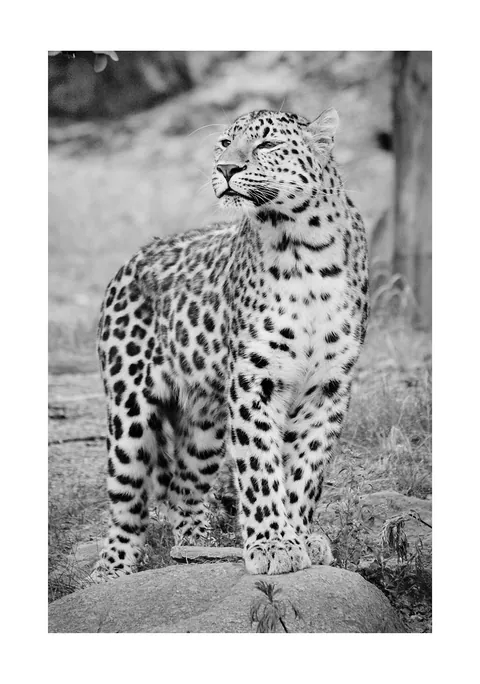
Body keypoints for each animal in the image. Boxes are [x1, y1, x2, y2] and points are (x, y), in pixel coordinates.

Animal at [94, 106, 369, 578]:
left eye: (267, 145)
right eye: (225, 143)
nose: (226, 168)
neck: (305, 248)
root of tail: (132, 259)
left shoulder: (329, 387)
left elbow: (305, 470)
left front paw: (300, 536)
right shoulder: (255, 380)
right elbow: (259, 465)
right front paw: (273, 543)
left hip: (205, 424)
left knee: (183, 488)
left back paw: (195, 547)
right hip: (129, 409)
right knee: (127, 500)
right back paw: (112, 569)